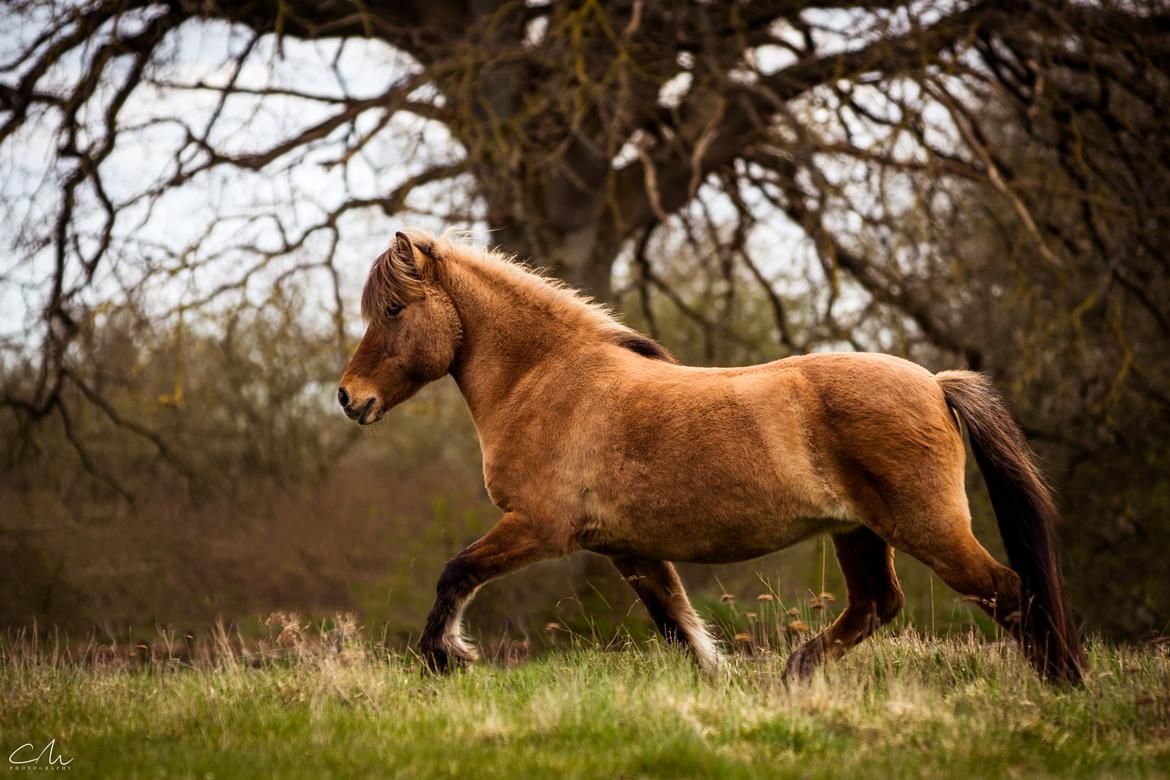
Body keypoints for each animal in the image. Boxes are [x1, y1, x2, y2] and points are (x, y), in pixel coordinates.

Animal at [334, 230, 1081, 682]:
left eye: (394, 309)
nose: (350, 398)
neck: (549, 378)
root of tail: (934, 383)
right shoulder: (628, 549)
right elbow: (679, 627)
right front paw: (721, 684)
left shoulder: (539, 529)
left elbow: (455, 573)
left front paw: (444, 657)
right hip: (860, 532)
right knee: (876, 605)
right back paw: (792, 677)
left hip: (927, 527)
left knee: (1010, 591)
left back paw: (1059, 688)